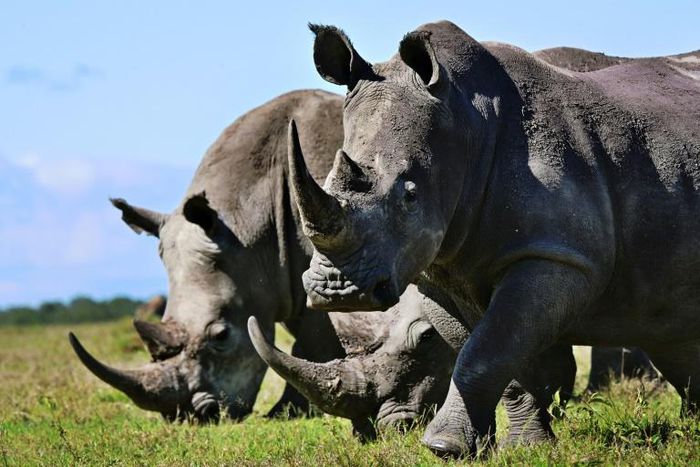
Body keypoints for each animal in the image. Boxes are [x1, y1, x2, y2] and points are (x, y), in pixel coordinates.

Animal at [67, 90, 455, 431]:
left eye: (221, 335)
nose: (189, 416)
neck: (250, 226)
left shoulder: (337, 262)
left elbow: (313, 339)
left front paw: (285, 413)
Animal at [287, 21, 700, 458]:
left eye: (410, 195)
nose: (337, 290)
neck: (466, 126)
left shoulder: (555, 256)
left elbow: (488, 349)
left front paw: (443, 446)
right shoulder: (438, 273)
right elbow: (502, 356)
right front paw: (520, 449)